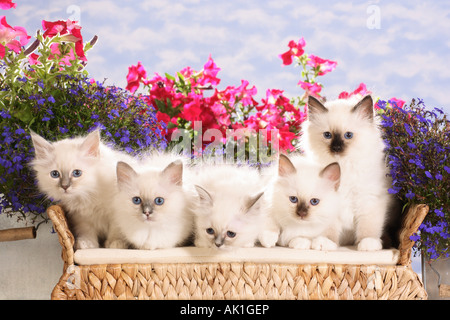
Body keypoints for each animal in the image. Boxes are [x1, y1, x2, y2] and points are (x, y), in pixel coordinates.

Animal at [302, 94, 398, 250]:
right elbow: (329, 229)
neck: (343, 166)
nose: (336, 148)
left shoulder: (369, 199)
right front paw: (326, 242)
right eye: (327, 135)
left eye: (348, 135)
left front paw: (367, 244)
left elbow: (368, 227)